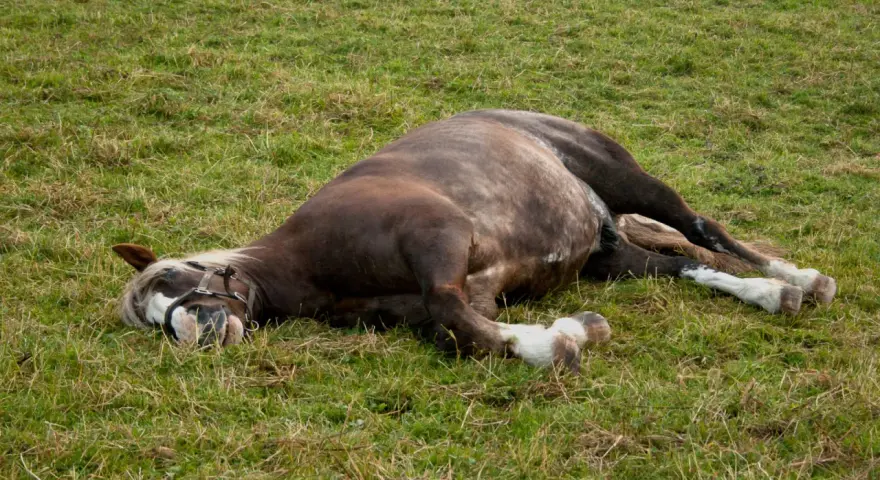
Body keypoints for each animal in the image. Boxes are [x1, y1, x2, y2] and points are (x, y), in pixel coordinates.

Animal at [113, 110, 837, 373]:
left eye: (174, 277)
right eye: (150, 320)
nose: (193, 333)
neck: (312, 261)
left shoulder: (440, 239)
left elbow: (450, 310)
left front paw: (559, 343)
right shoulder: (465, 295)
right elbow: (463, 331)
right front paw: (571, 331)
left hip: (630, 182)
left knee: (702, 229)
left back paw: (798, 278)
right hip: (611, 256)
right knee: (683, 264)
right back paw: (770, 293)